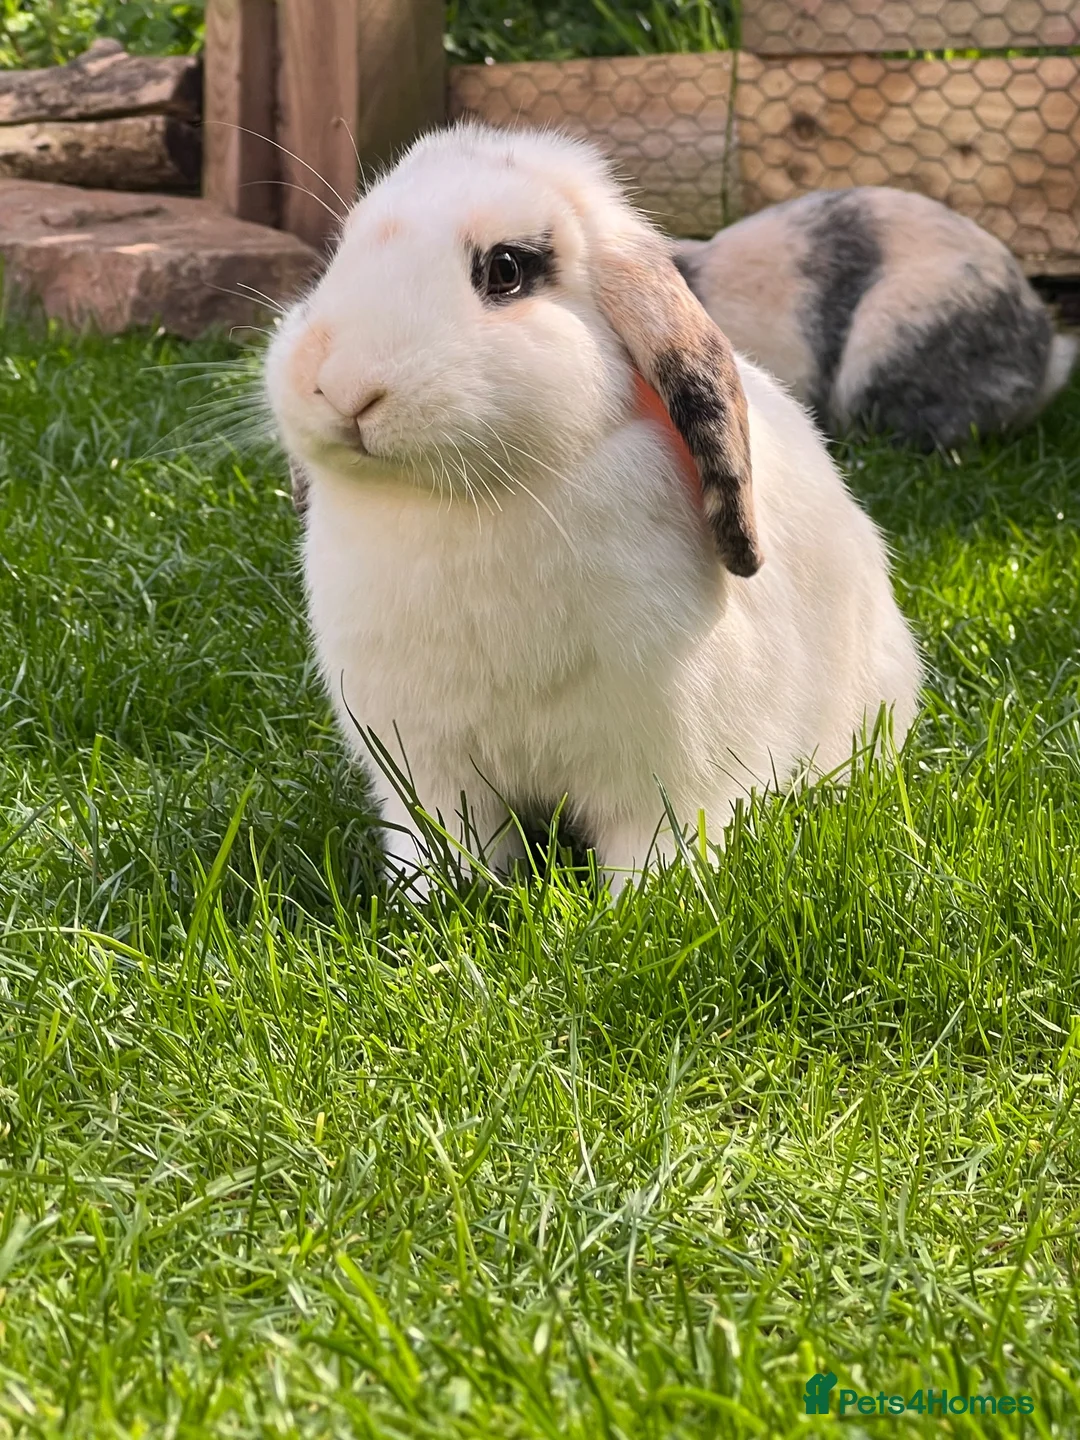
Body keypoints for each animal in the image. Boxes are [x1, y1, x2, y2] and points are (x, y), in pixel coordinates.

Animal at [264, 122, 921, 896]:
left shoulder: (667, 770)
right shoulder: (427, 769)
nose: (344, 388)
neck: (467, 500)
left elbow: (654, 841)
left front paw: (643, 902)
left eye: (507, 270)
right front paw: (427, 898)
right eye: (342, 255)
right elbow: (442, 838)